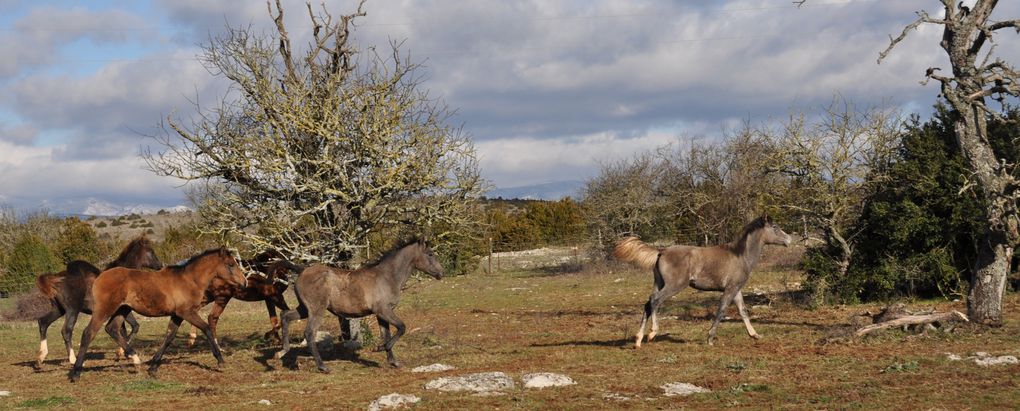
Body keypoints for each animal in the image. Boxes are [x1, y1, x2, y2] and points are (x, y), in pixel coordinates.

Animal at [32, 236, 161, 371]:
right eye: (151, 251)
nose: (160, 265)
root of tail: (55, 279)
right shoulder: (124, 310)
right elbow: (134, 326)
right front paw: (122, 353)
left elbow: (124, 330)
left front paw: (123, 353)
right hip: (73, 310)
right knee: (66, 330)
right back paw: (73, 360)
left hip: (59, 310)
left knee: (43, 322)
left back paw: (40, 359)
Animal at [67, 247, 244, 383]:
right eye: (230, 265)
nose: (244, 282)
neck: (189, 280)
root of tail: (99, 277)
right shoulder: (187, 312)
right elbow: (206, 328)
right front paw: (220, 360)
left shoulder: (177, 315)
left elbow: (169, 336)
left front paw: (153, 367)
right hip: (104, 309)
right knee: (89, 333)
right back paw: (76, 372)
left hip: (122, 310)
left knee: (112, 329)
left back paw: (135, 359)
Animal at [275, 239, 442, 375]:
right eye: (430, 254)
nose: (441, 272)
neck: (387, 277)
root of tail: (302, 270)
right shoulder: (384, 311)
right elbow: (402, 327)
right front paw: (379, 348)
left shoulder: (382, 314)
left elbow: (387, 334)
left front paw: (393, 362)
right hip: (317, 310)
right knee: (309, 333)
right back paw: (323, 367)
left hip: (304, 309)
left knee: (285, 316)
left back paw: (283, 351)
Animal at [607, 217, 791, 348]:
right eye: (775, 227)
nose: (789, 240)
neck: (740, 255)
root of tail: (661, 251)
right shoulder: (730, 289)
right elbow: (721, 310)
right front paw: (710, 338)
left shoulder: (736, 289)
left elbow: (743, 311)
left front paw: (755, 335)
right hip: (674, 285)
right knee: (655, 301)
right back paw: (652, 333)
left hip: (659, 283)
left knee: (648, 304)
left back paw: (638, 340)